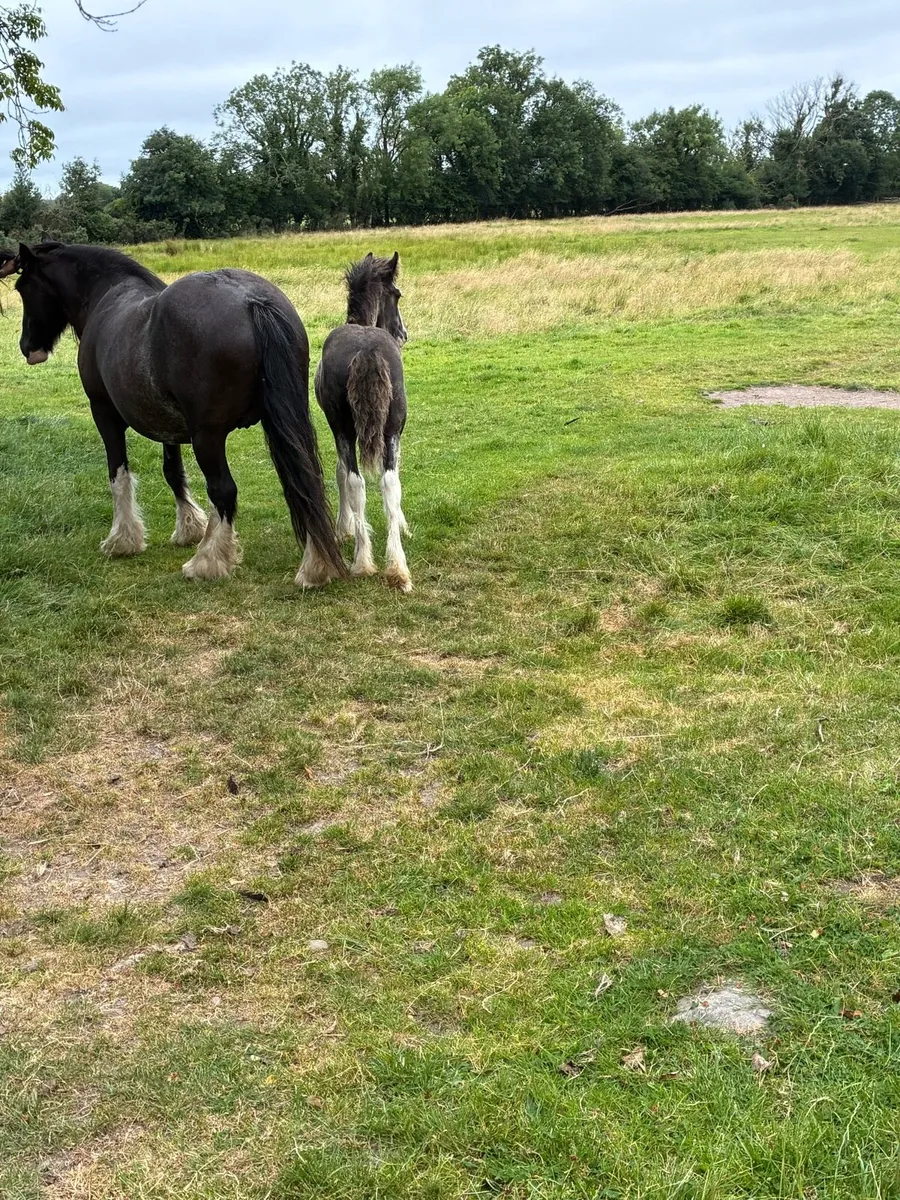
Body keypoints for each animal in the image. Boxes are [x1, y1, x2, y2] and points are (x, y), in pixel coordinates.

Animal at [0, 241, 346, 587]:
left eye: (23, 287)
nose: (27, 347)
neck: (105, 295)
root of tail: (252, 301)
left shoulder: (104, 414)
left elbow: (118, 474)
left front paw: (122, 540)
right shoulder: (168, 427)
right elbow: (173, 472)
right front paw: (189, 528)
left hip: (208, 437)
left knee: (224, 490)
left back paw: (207, 562)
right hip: (285, 421)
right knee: (305, 483)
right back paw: (316, 565)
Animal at [314, 252, 412, 592]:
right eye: (397, 294)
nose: (403, 334)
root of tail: (367, 349)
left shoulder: (342, 430)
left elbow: (341, 472)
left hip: (349, 430)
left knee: (360, 480)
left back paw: (366, 562)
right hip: (384, 428)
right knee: (386, 481)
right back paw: (393, 568)